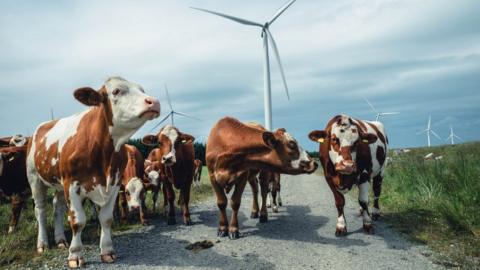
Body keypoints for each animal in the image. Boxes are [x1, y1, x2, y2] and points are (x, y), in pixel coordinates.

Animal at [26, 76, 159, 268]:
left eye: (142, 90)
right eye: (116, 91)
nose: (153, 101)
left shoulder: (114, 183)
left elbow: (106, 218)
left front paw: (107, 251)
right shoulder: (71, 184)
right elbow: (77, 221)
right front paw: (75, 255)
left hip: (58, 184)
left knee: (57, 207)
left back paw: (60, 240)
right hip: (35, 179)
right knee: (41, 210)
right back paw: (42, 244)